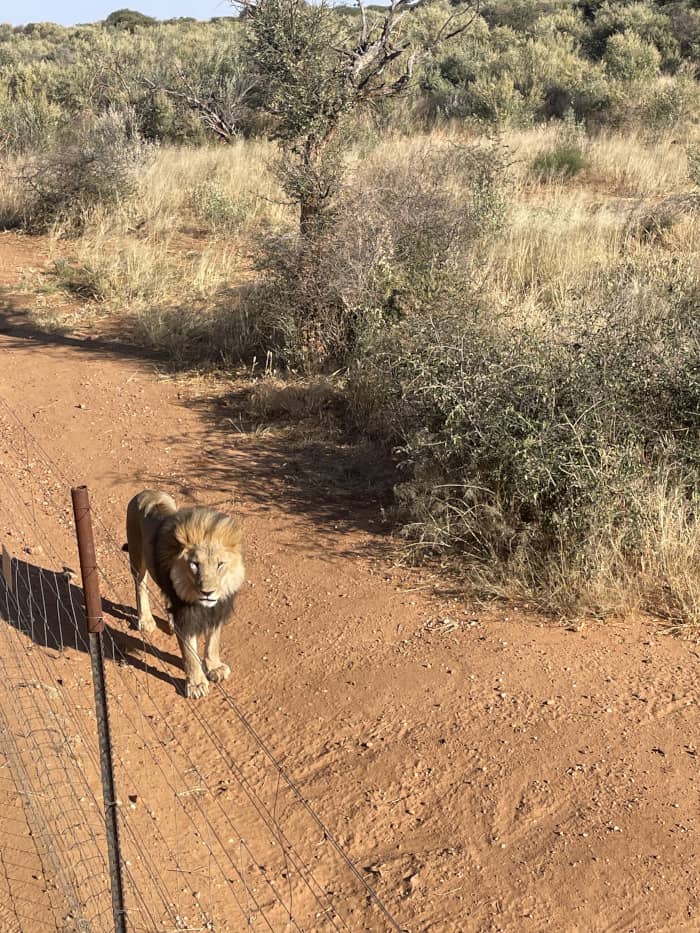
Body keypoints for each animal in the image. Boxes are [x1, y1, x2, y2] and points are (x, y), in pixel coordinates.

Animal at [125, 490, 245, 699]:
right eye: (195, 564)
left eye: (220, 564)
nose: (207, 592)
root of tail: (144, 492)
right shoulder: (186, 616)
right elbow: (189, 653)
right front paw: (196, 684)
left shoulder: (217, 610)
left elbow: (213, 640)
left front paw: (214, 667)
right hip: (137, 557)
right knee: (140, 585)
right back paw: (146, 621)